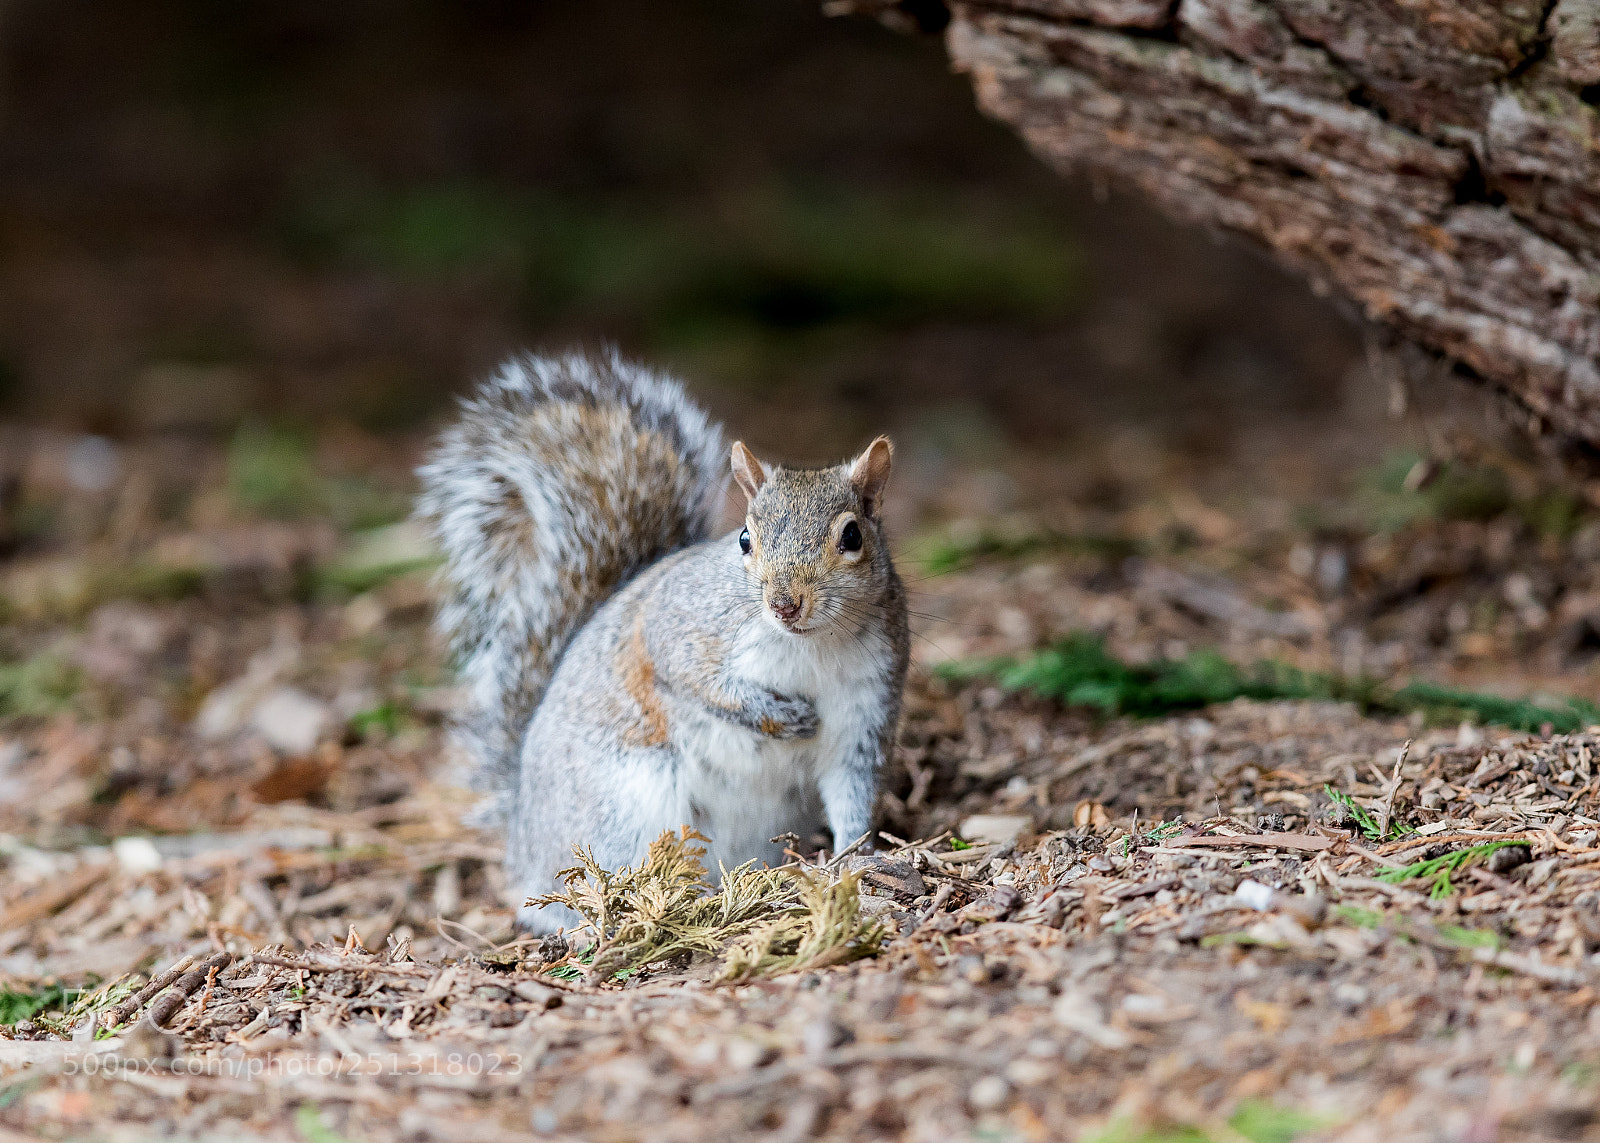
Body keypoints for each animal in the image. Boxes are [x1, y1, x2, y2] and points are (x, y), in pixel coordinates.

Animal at [417, 350, 910, 932]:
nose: (785, 604)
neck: (810, 646)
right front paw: (776, 717)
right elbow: (691, 678)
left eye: (852, 536)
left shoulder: (867, 703)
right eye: (745, 538)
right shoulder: (679, 626)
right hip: (628, 803)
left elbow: (853, 791)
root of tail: (523, 835)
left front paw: (857, 859)